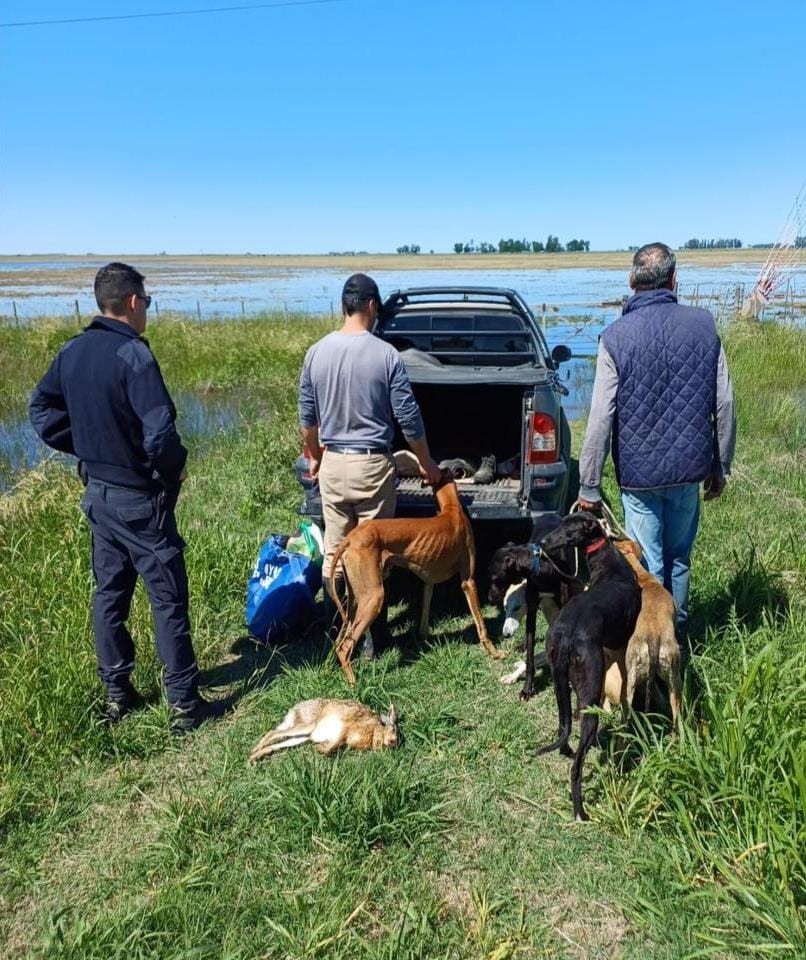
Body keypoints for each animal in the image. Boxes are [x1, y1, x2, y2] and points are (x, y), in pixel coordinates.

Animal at [246, 700, 398, 760]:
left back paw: (253, 758)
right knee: (273, 733)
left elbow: (334, 746)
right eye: (393, 730)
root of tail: (293, 711)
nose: (394, 742)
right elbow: (333, 745)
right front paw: (320, 749)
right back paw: (254, 750)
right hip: (308, 725)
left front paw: (320, 747)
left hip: (302, 737)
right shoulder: (346, 728)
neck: (375, 729)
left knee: (275, 744)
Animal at [328, 468, 498, 688]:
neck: (451, 510)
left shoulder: (428, 581)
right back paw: (354, 684)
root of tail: (351, 538)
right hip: (373, 598)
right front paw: (494, 652)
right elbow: (481, 623)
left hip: (353, 601)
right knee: (344, 647)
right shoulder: (468, 582)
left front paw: (425, 639)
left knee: (339, 641)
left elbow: (425, 615)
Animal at [490, 512, 584, 700]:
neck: (543, 564)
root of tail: (549, 513)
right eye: (504, 608)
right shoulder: (532, 606)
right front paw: (527, 688)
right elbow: (530, 654)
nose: (489, 598)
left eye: (495, 577)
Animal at [536, 512, 644, 820]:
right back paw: (580, 811)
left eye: (567, 528)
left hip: (561, 684)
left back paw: (567, 750)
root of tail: (567, 635)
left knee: (563, 726)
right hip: (590, 695)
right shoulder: (620, 648)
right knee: (576, 768)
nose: (543, 542)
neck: (609, 564)